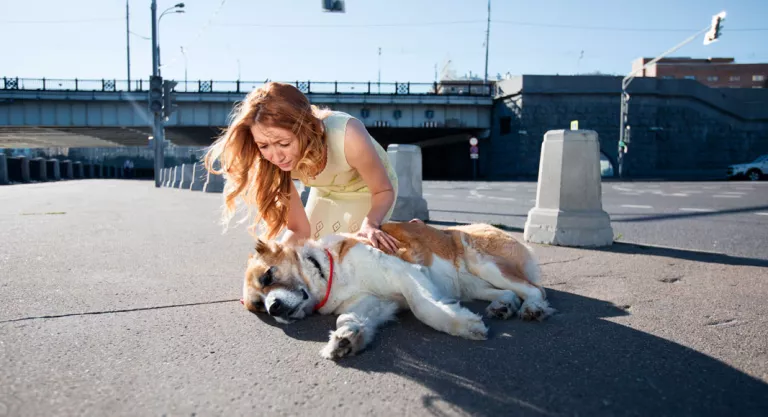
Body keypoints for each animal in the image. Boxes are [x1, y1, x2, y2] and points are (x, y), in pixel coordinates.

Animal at [240, 219, 552, 360]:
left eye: (268, 276)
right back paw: (503, 306)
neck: (330, 272)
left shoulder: (404, 273)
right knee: (507, 293)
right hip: (471, 285)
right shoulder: (373, 302)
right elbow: (349, 318)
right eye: (258, 306)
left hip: (485, 264)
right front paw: (345, 338)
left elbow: (423, 307)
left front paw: (463, 326)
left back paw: (533, 308)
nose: (273, 307)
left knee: (534, 289)